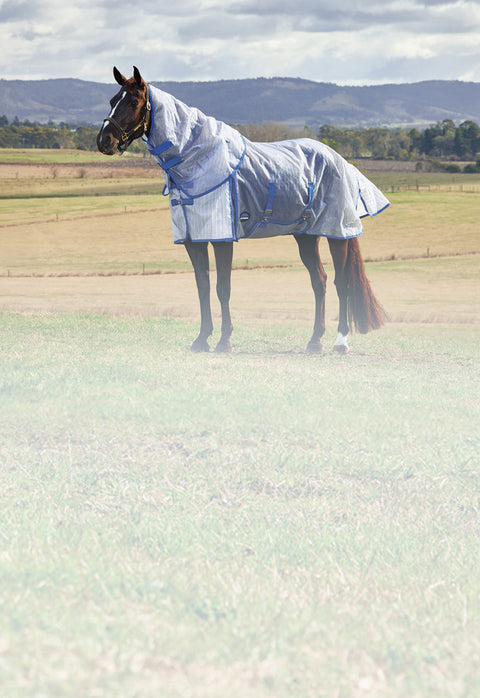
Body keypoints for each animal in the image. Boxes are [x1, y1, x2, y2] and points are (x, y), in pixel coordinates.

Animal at [97, 66, 389, 354]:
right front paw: (201, 339)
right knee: (320, 281)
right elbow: (203, 287)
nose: (104, 141)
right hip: (306, 236)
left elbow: (222, 288)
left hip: (337, 233)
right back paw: (314, 342)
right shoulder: (193, 240)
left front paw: (224, 342)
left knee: (342, 283)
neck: (198, 160)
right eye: (112, 101)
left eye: (133, 101)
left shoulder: (222, 238)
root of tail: (341, 161)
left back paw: (340, 343)